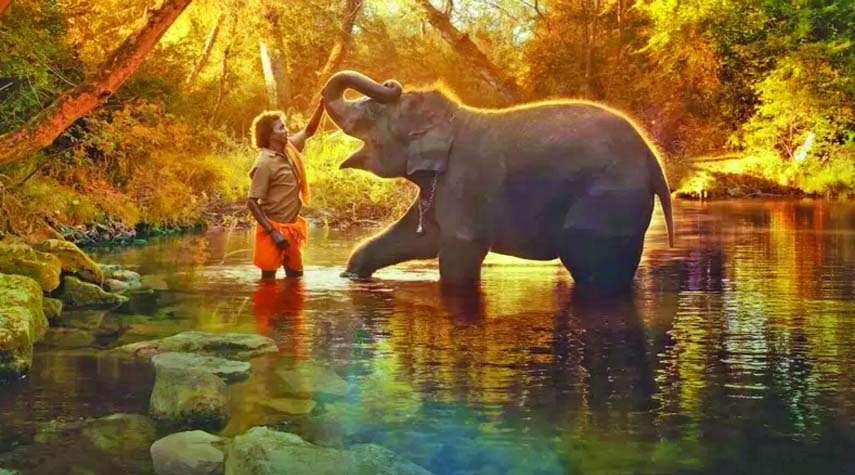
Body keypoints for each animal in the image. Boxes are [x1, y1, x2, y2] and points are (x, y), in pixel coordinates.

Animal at [322, 70, 675, 291]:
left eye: (372, 114)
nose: (391, 82)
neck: (452, 118)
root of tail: (653, 161)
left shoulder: (464, 182)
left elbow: (459, 252)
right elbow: (417, 238)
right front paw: (350, 275)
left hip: (607, 200)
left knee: (590, 265)